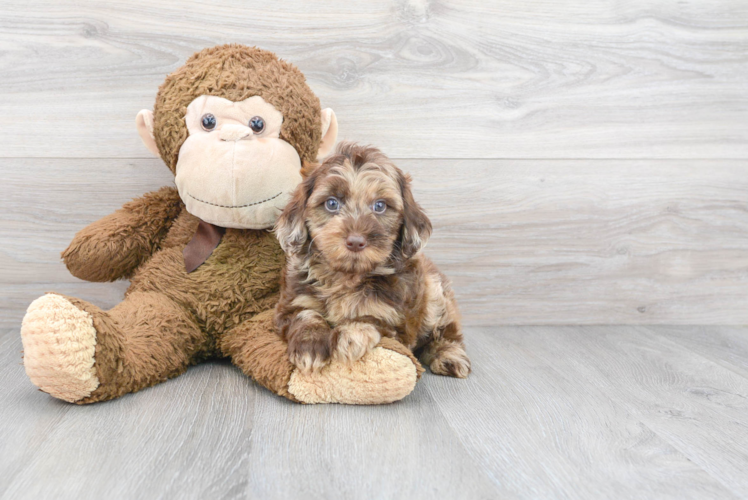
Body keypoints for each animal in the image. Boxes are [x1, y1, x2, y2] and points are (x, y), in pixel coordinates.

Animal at [274, 143, 470, 376]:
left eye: (380, 206)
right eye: (332, 203)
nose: (356, 241)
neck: (347, 277)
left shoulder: (396, 318)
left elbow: (371, 317)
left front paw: (350, 337)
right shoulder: (292, 302)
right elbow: (305, 314)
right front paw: (309, 346)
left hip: (436, 295)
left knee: (447, 331)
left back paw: (449, 355)